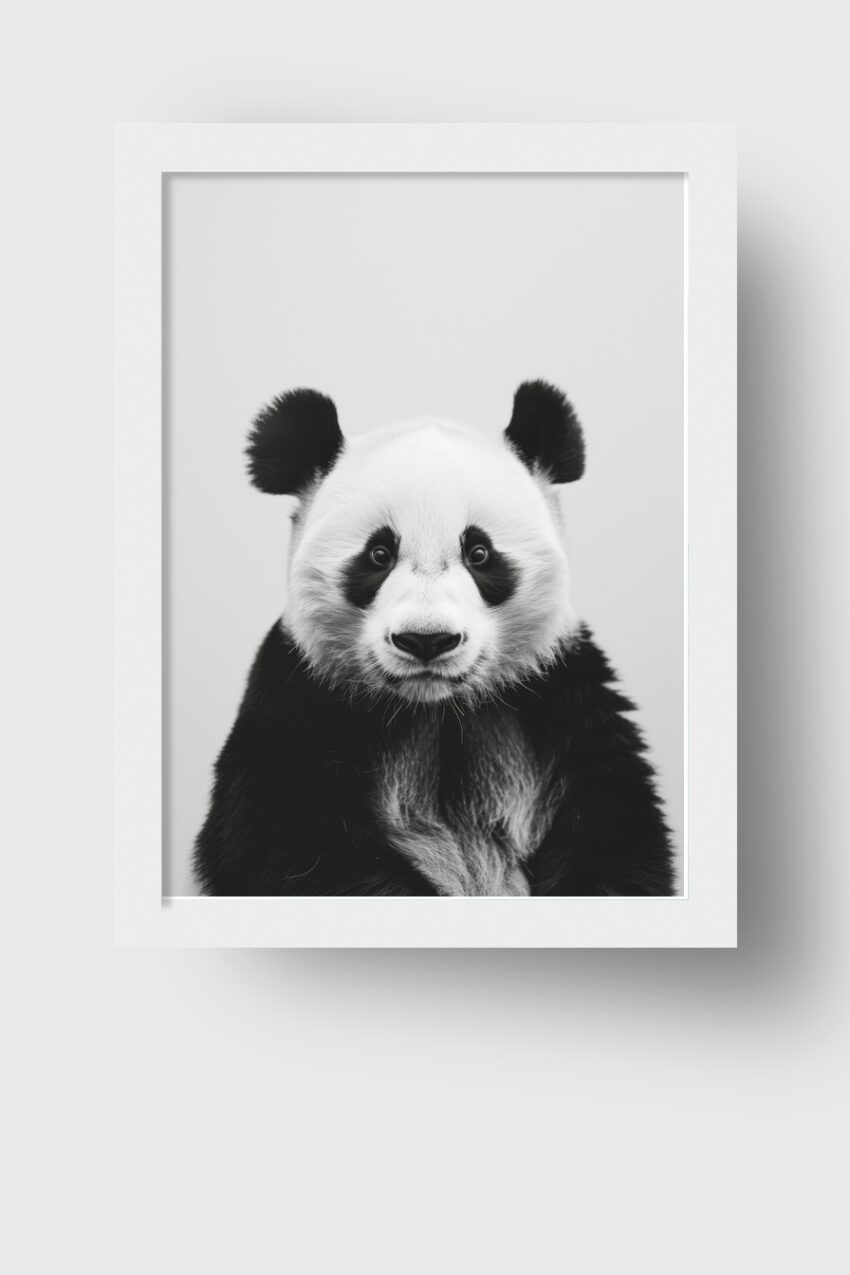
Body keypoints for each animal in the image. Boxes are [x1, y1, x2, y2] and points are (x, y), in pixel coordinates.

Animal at [194, 381, 675, 897]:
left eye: (479, 553)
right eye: (379, 554)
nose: (427, 640)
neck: (438, 711)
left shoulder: (559, 697)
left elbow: (615, 832)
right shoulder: (300, 694)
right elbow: (284, 838)